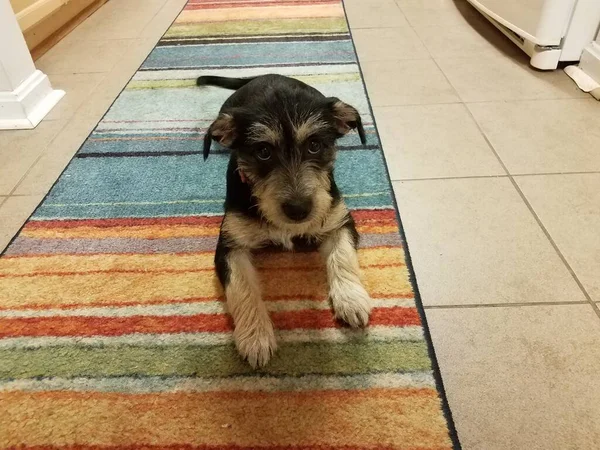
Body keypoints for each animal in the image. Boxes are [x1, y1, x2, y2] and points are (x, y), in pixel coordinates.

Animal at [199, 74, 372, 370]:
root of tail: (265, 76)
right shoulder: (230, 245)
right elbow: (241, 287)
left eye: (315, 145)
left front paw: (351, 300)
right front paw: (256, 338)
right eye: (263, 151)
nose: (299, 210)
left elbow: (343, 257)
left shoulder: (339, 220)